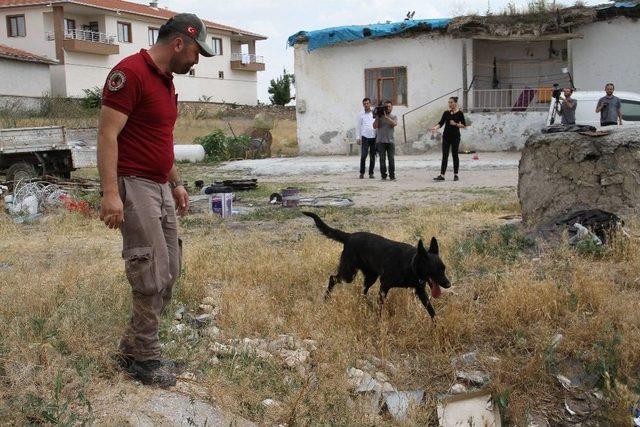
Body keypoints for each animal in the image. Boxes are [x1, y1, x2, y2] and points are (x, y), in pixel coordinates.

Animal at [304, 212, 450, 320]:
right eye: (434, 270)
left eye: (443, 269)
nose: (448, 284)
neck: (410, 263)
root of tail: (349, 236)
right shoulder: (384, 286)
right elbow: (381, 307)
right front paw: (379, 322)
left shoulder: (420, 291)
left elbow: (431, 310)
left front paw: (438, 326)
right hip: (349, 274)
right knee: (333, 278)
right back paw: (326, 298)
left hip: (371, 277)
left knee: (363, 291)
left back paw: (367, 305)